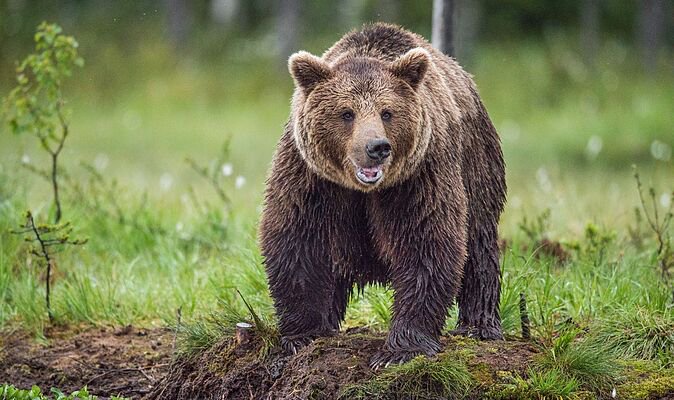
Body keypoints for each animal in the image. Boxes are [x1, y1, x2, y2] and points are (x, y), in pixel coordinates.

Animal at [259, 23, 506, 368]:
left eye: (387, 113)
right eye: (346, 113)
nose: (377, 147)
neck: (363, 190)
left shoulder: (418, 178)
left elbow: (426, 243)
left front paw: (400, 349)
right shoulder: (311, 178)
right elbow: (298, 240)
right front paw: (302, 334)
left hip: (477, 164)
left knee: (479, 244)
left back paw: (479, 326)